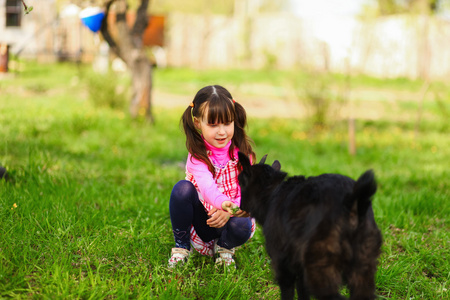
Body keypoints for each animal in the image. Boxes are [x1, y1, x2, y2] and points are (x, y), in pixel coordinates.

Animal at [237, 154, 382, 300]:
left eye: (240, 182)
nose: (240, 206)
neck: (272, 191)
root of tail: (352, 202)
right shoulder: (300, 269)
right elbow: (302, 292)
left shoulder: (282, 265)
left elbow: (287, 293)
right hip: (363, 267)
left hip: (320, 269)